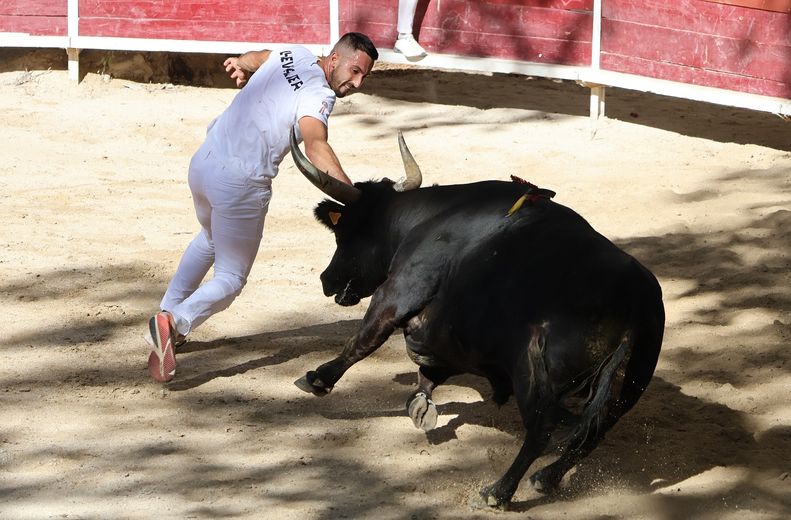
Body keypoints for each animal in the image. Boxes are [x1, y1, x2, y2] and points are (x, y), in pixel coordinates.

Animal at [288, 130, 664, 508]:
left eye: (344, 233)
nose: (326, 279)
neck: (428, 219)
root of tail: (634, 298)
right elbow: (425, 377)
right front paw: (421, 407)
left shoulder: (397, 293)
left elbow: (363, 341)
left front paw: (317, 378)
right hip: (629, 385)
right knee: (593, 430)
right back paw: (546, 477)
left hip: (534, 373)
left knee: (543, 429)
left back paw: (498, 491)